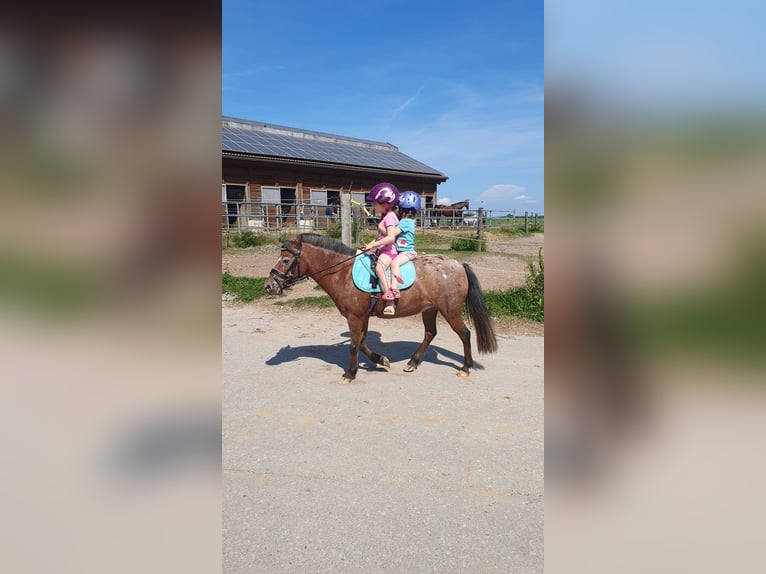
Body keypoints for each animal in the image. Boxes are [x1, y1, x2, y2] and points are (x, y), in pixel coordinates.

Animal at [264, 234, 498, 388]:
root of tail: (459, 264)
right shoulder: (362, 316)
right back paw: (412, 363)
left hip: (450, 311)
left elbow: (354, 345)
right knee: (430, 333)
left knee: (465, 334)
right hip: (430, 309)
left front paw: (350, 373)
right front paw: (380, 360)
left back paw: (465, 368)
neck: (343, 272)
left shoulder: (355, 317)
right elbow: (362, 342)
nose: (269, 286)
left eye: (286, 260)